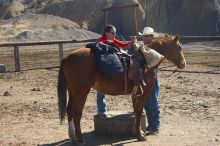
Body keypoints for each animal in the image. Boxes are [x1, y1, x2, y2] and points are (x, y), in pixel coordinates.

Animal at [56, 34, 186, 144]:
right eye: (179, 47)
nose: (183, 64)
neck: (146, 58)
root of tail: (68, 57)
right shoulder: (144, 91)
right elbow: (139, 111)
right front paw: (140, 135)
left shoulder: (136, 92)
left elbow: (136, 111)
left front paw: (137, 132)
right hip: (81, 92)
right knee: (76, 112)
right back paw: (80, 139)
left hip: (72, 91)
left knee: (69, 110)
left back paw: (73, 136)